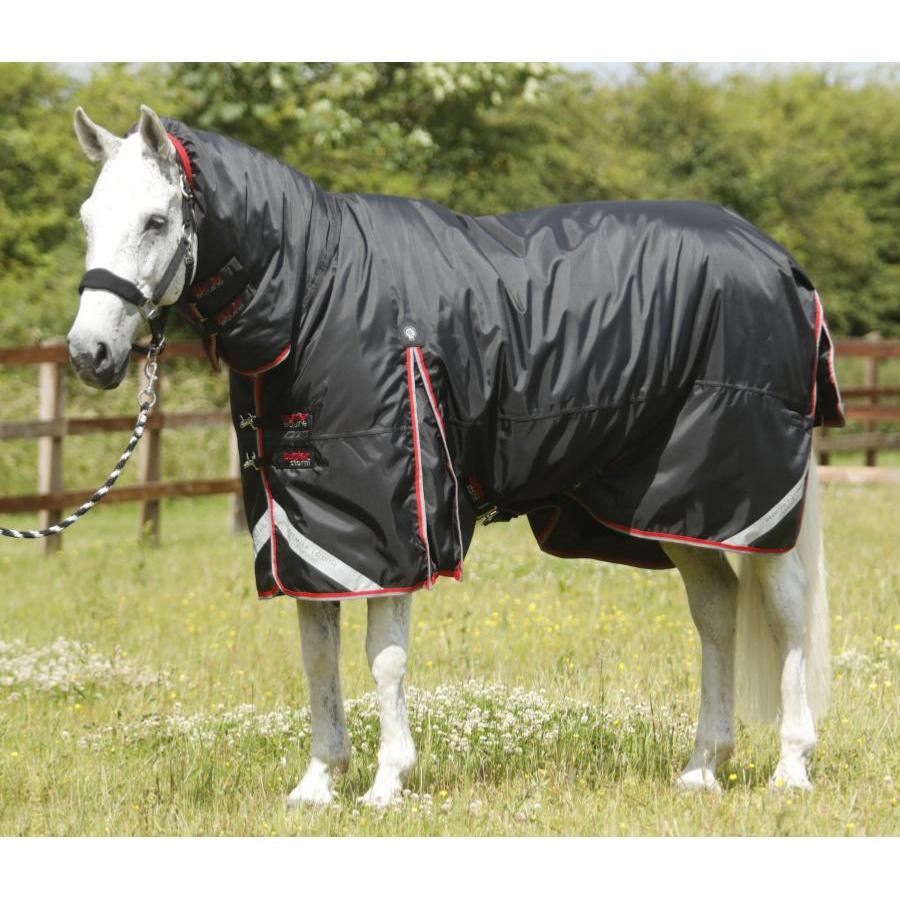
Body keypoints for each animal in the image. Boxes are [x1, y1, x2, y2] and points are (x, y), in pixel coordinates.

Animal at [67, 104, 843, 807]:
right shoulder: (307, 531)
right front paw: (318, 785)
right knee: (716, 611)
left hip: (748, 492)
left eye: (156, 221)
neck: (314, 295)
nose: (88, 353)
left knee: (786, 614)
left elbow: (384, 661)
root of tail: (780, 262)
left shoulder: (393, 523)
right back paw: (703, 768)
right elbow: (318, 657)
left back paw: (790, 767)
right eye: (87, 218)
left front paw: (386, 784)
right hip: (681, 506)